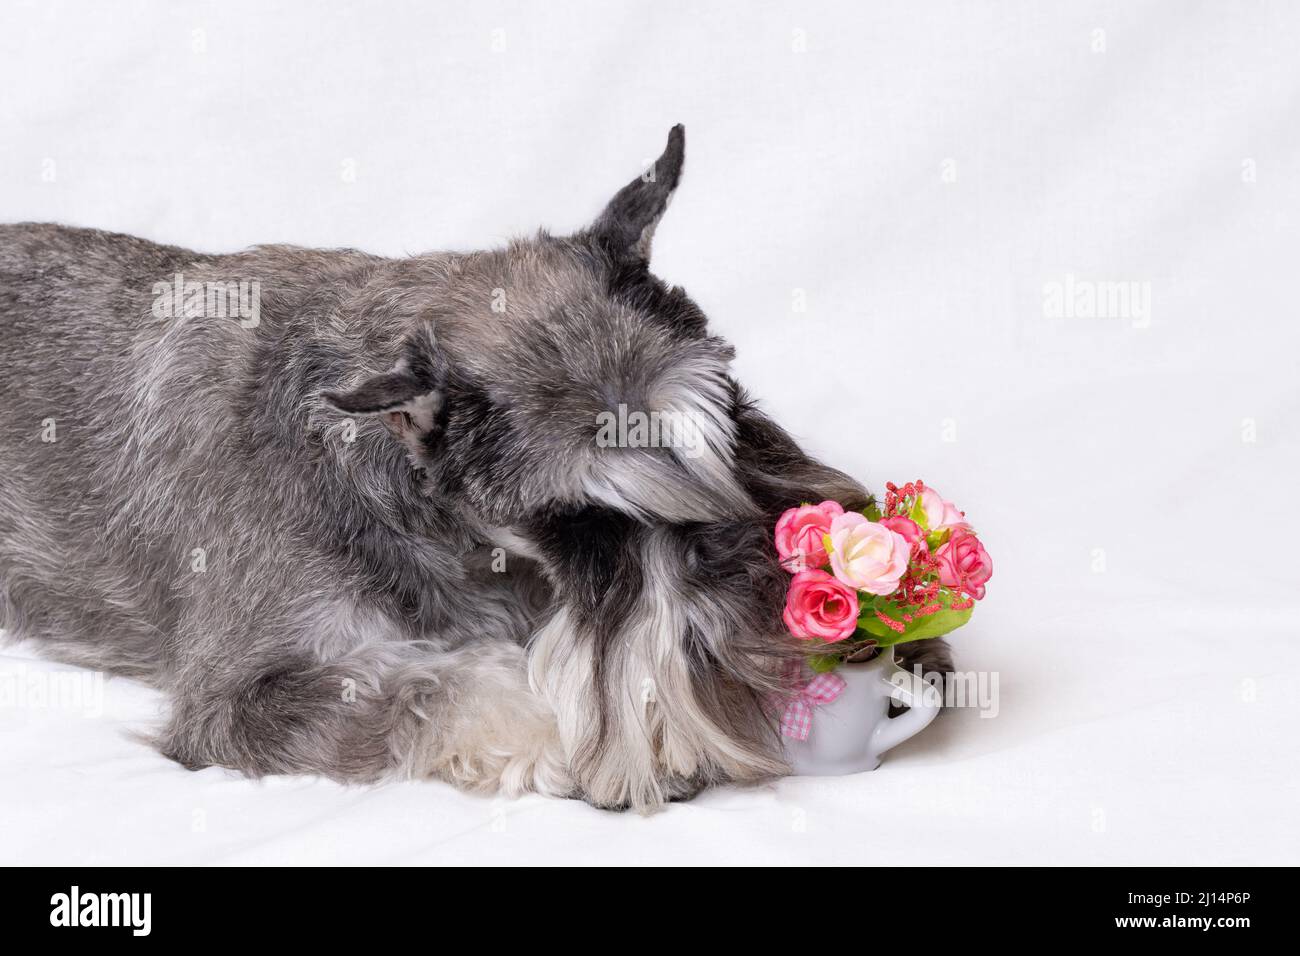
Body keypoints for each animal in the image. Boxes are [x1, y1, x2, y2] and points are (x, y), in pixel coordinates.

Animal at [2, 127, 956, 811]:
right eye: (581, 518)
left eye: (733, 405)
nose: (790, 619)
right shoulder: (238, 698)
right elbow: (437, 685)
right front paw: (591, 744)